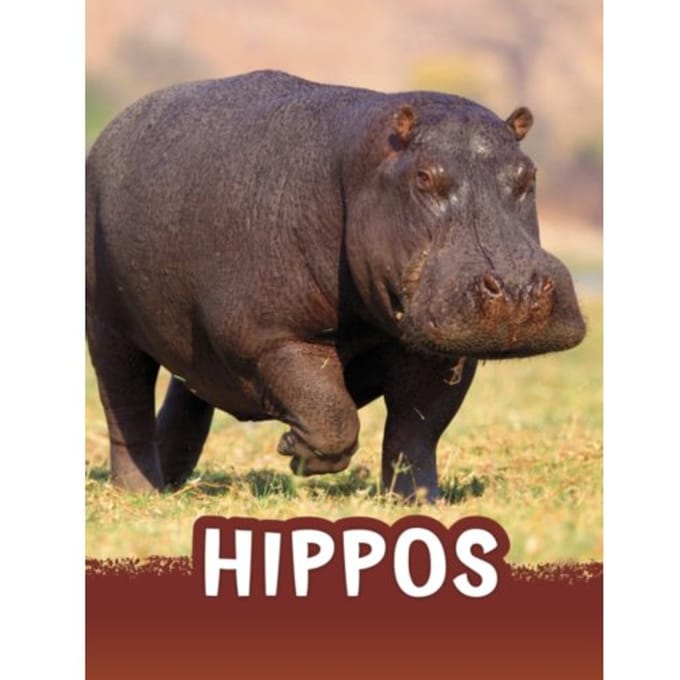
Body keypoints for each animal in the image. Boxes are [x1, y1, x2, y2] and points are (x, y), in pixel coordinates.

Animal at [86, 69, 585, 500]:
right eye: (423, 177)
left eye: (528, 174)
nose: (518, 288)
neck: (357, 169)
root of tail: (108, 133)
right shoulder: (272, 337)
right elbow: (331, 412)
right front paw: (295, 452)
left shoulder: (442, 348)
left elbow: (416, 431)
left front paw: (419, 501)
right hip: (107, 327)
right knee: (125, 408)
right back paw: (139, 492)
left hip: (190, 343)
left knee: (187, 392)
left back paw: (172, 482)